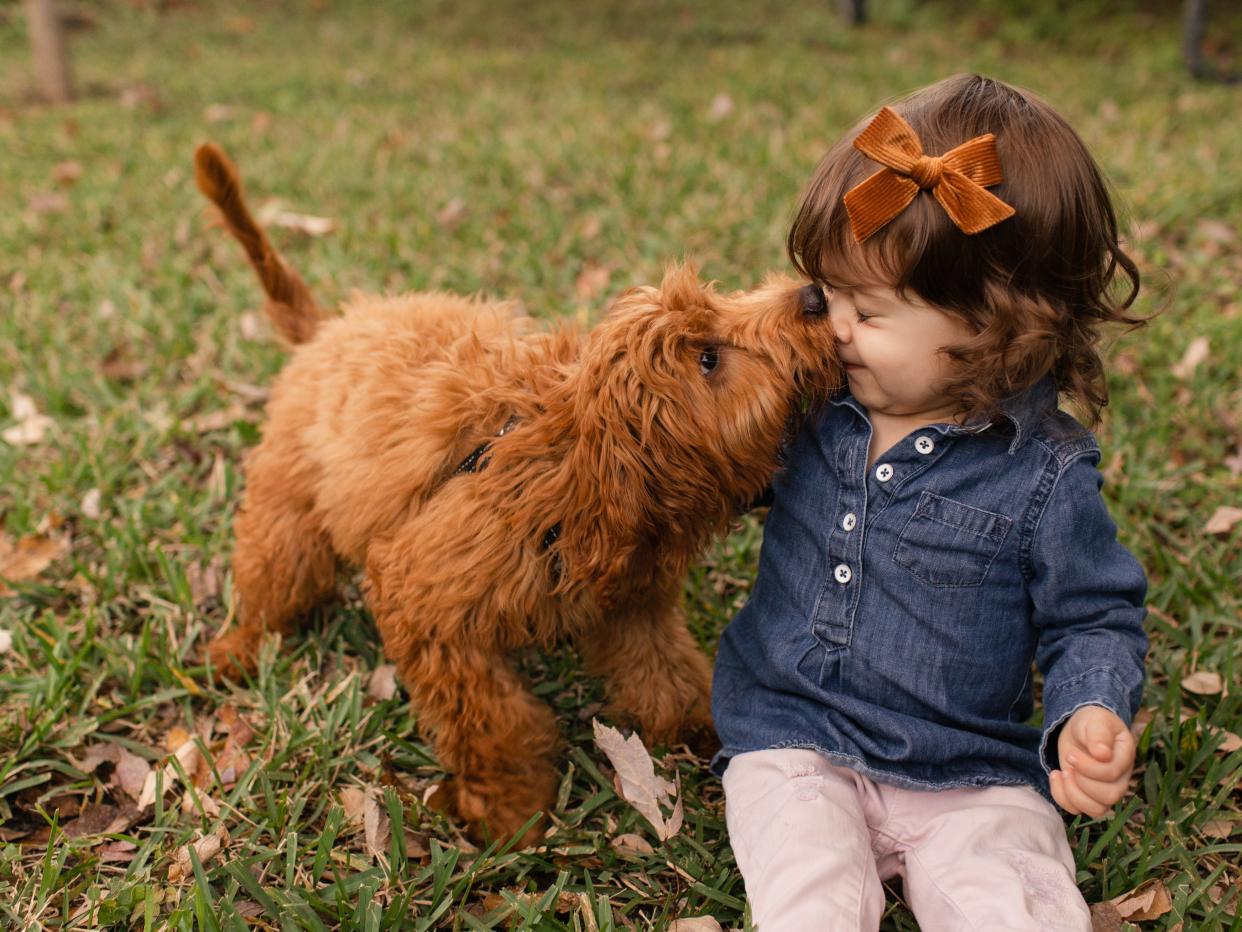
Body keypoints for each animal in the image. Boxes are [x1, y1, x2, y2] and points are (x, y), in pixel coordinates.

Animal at [193, 144, 839, 845]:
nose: (814, 296)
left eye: (719, 303)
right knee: (275, 575)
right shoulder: (424, 603)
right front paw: (508, 810)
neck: (564, 460)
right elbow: (494, 722)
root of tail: (328, 330)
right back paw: (238, 646)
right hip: (290, 506)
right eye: (709, 359)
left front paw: (699, 725)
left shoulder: (630, 599)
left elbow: (663, 670)